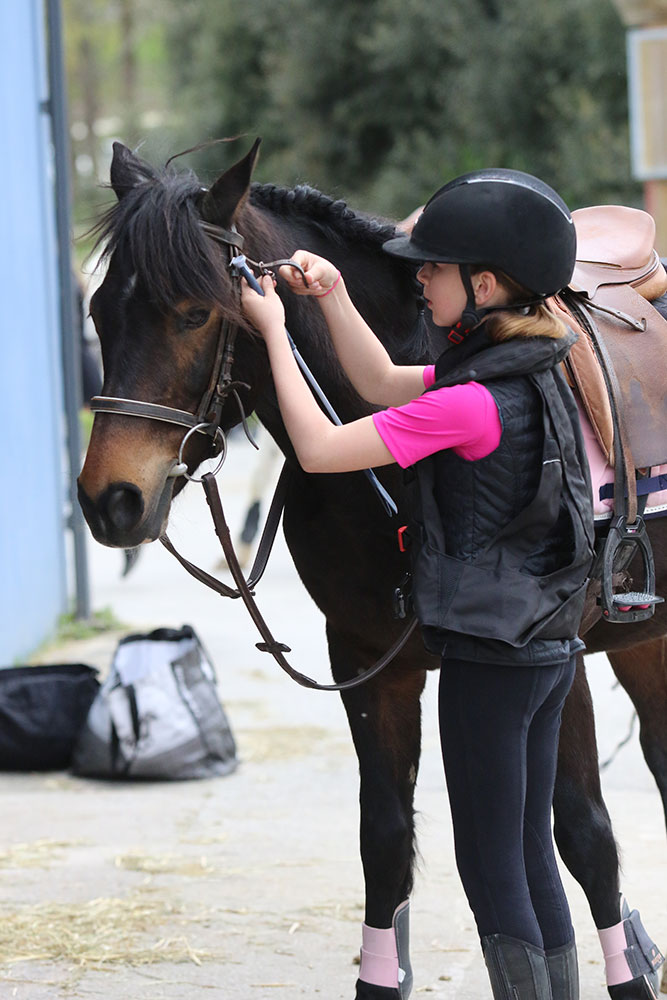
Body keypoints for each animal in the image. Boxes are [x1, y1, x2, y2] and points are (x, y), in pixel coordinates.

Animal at [79, 141, 667, 1000]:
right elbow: (385, 842)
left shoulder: (552, 658)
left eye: (193, 313)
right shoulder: (367, 660)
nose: (110, 499)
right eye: (98, 313)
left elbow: (582, 836)